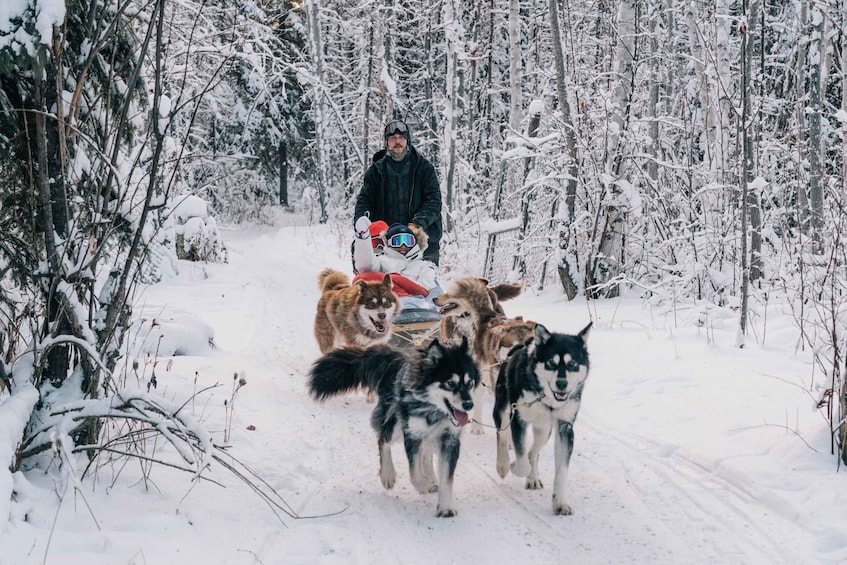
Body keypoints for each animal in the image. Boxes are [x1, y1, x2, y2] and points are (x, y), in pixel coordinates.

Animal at [310, 338, 484, 516]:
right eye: (450, 383)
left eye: (469, 383)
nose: (469, 404)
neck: (433, 409)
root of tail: (395, 358)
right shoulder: (411, 433)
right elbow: (414, 470)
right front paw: (422, 484)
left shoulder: (450, 439)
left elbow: (447, 478)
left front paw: (445, 506)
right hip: (394, 422)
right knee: (383, 440)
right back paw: (388, 475)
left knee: (426, 453)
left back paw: (431, 478)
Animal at [494, 320, 592, 512]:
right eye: (551, 363)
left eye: (572, 363)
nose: (561, 383)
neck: (545, 397)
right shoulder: (518, 420)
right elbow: (521, 460)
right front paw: (514, 466)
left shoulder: (565, 427)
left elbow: (561, 471)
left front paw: (560, 502)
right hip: (502, 411)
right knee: (502, 435)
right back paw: (503, 464)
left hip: (544, 430)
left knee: (533, 452)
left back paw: (533, 478)